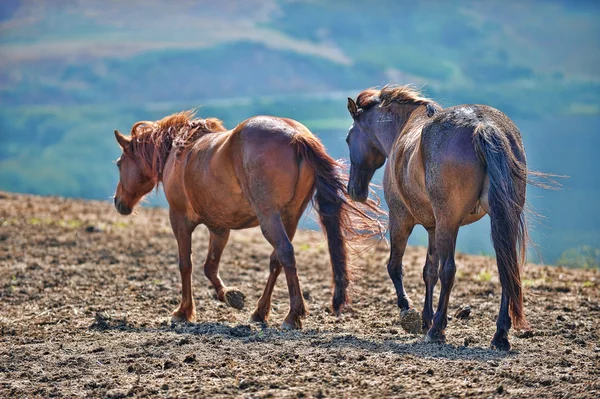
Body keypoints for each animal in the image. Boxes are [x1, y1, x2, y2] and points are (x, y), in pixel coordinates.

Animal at [112, 111, 380, 330]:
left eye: (118, 163)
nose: (118, 202)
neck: (180, 151)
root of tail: (296, 136)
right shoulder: (219, 229)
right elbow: (210, 266)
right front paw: (231, 296)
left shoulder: (179, 220)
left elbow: (185, 264)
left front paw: (184, 311)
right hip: (289, 217)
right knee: (277, 260)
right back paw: (260, 312)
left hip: (269, 217)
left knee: (285, 253)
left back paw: (292, 315)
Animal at [344, 85, 536, 350]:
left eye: (348, 138)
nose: (355, 190)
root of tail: (483, 125)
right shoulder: (433, 228)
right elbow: (429, 271)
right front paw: (426, 317)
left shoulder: (401, 219)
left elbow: (396, 266)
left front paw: (409, 310)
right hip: (501, 219)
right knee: (506, 267)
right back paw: (499, 335)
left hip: (448, 223)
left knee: (449, 270)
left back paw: (437, 331)